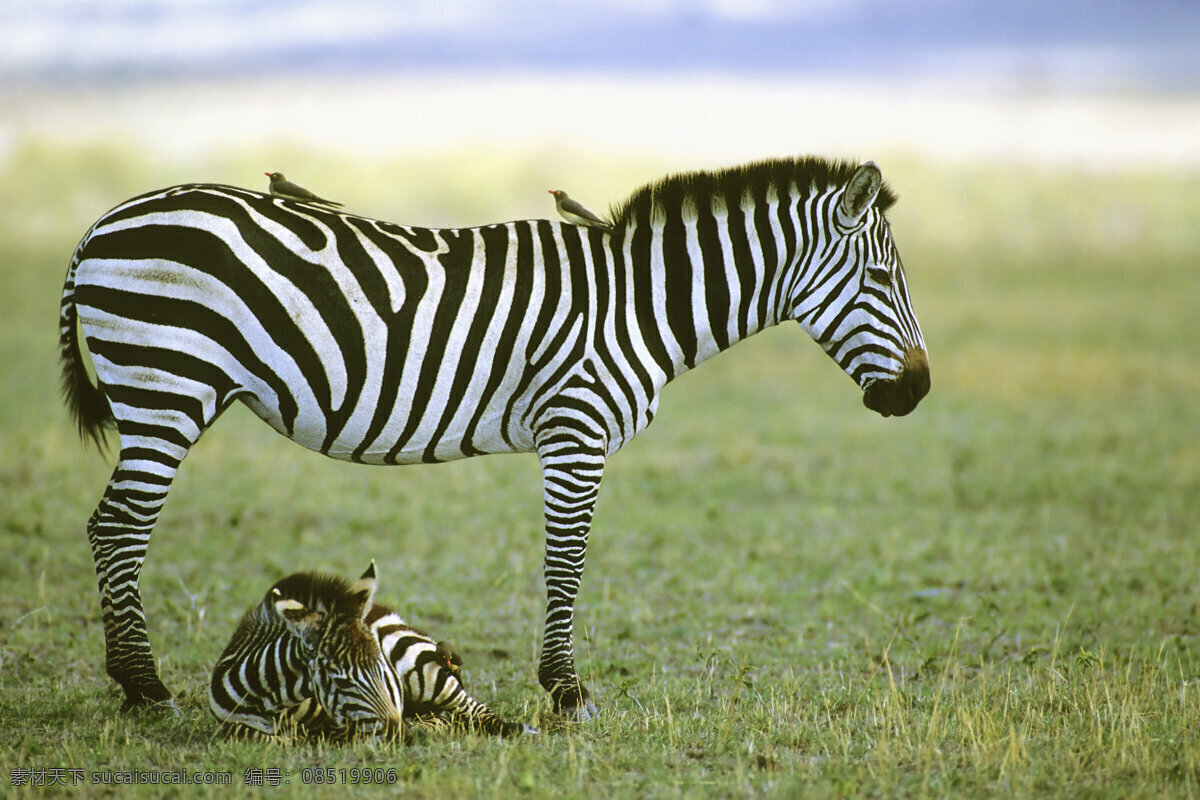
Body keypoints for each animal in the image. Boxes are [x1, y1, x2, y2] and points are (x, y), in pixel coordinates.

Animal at [60, 154, 931, 719]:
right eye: (882, 280)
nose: (919, 391)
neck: (639, 307)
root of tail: (101, 224)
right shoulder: (576, 427)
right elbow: (566, 562)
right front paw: (567, 690)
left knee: (108, 526)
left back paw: (131, 681)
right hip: (167, 384)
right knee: (120, 527)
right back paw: (144, 687)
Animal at [208, 563, 537, 738]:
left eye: (383, 669)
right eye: (338, 678)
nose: (398, 732)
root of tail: (385, 612)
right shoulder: (233, 727)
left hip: (426, 674)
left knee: (479, 713)